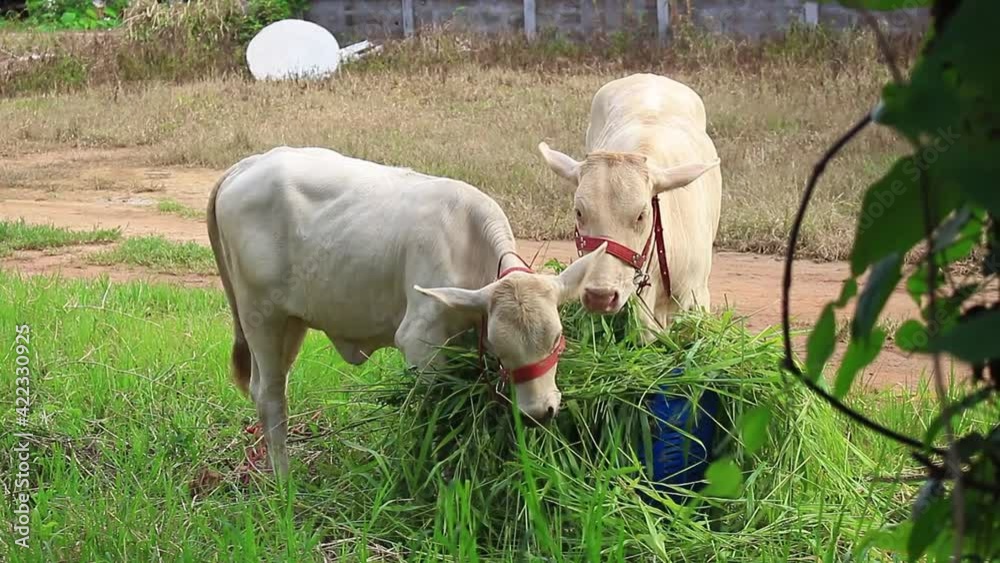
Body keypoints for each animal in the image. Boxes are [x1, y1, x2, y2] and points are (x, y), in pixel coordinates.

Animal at [207, 146, 607, 476]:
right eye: (501, 348)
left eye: (556, 337)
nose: (540, 412)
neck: (469, 246)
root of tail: (248, 165)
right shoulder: (419, 342)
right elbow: (432, 412)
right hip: (261, 316)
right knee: (271, 397)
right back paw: (285, 484)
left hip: (291, 322)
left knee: (263, 388)